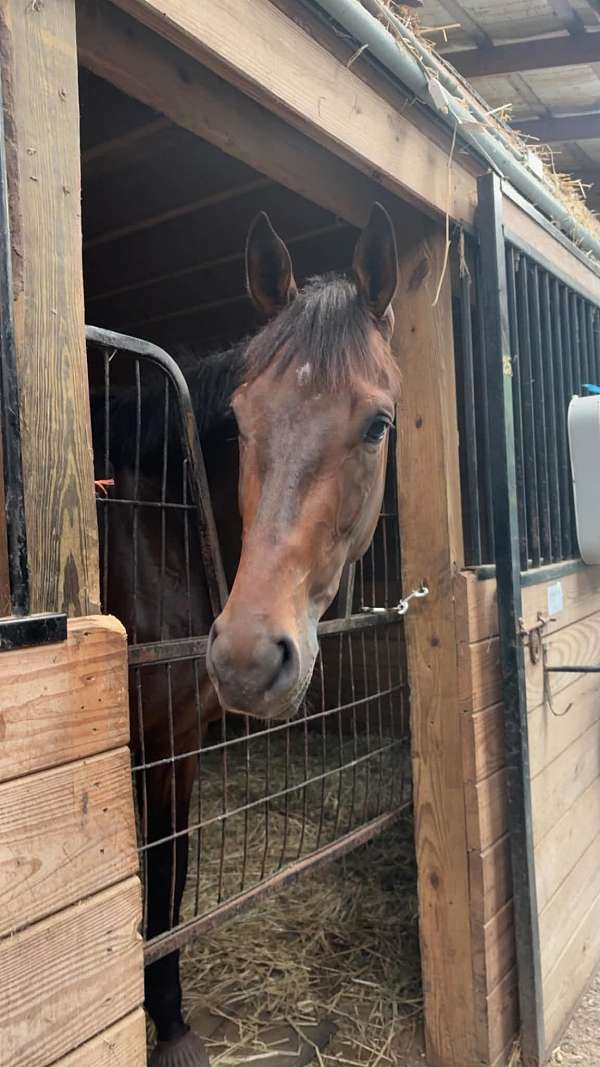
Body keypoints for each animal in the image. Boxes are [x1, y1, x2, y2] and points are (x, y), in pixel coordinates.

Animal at [95, 203, 401, 1067]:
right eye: (237, 420)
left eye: (378, 422)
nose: (246, 655)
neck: (154, 526)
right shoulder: (157, 738)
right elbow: (158, 883)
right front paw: (169, 1025)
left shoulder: (180, 739)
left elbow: (171, 874)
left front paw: (167, 1016)